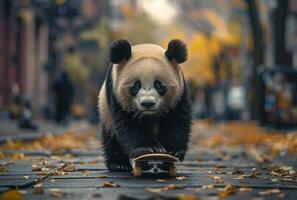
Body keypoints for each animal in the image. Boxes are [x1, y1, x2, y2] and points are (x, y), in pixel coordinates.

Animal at [98, 39, 191, 172]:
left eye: (158, 84)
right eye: (136, 85)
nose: (147, 103)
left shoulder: (179, 94)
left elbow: (176, 120)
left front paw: (173, 151)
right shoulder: (116, 95)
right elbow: (129, 123)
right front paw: (148, 149)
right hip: (105, 111)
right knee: (111, 136)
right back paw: (119, 164)